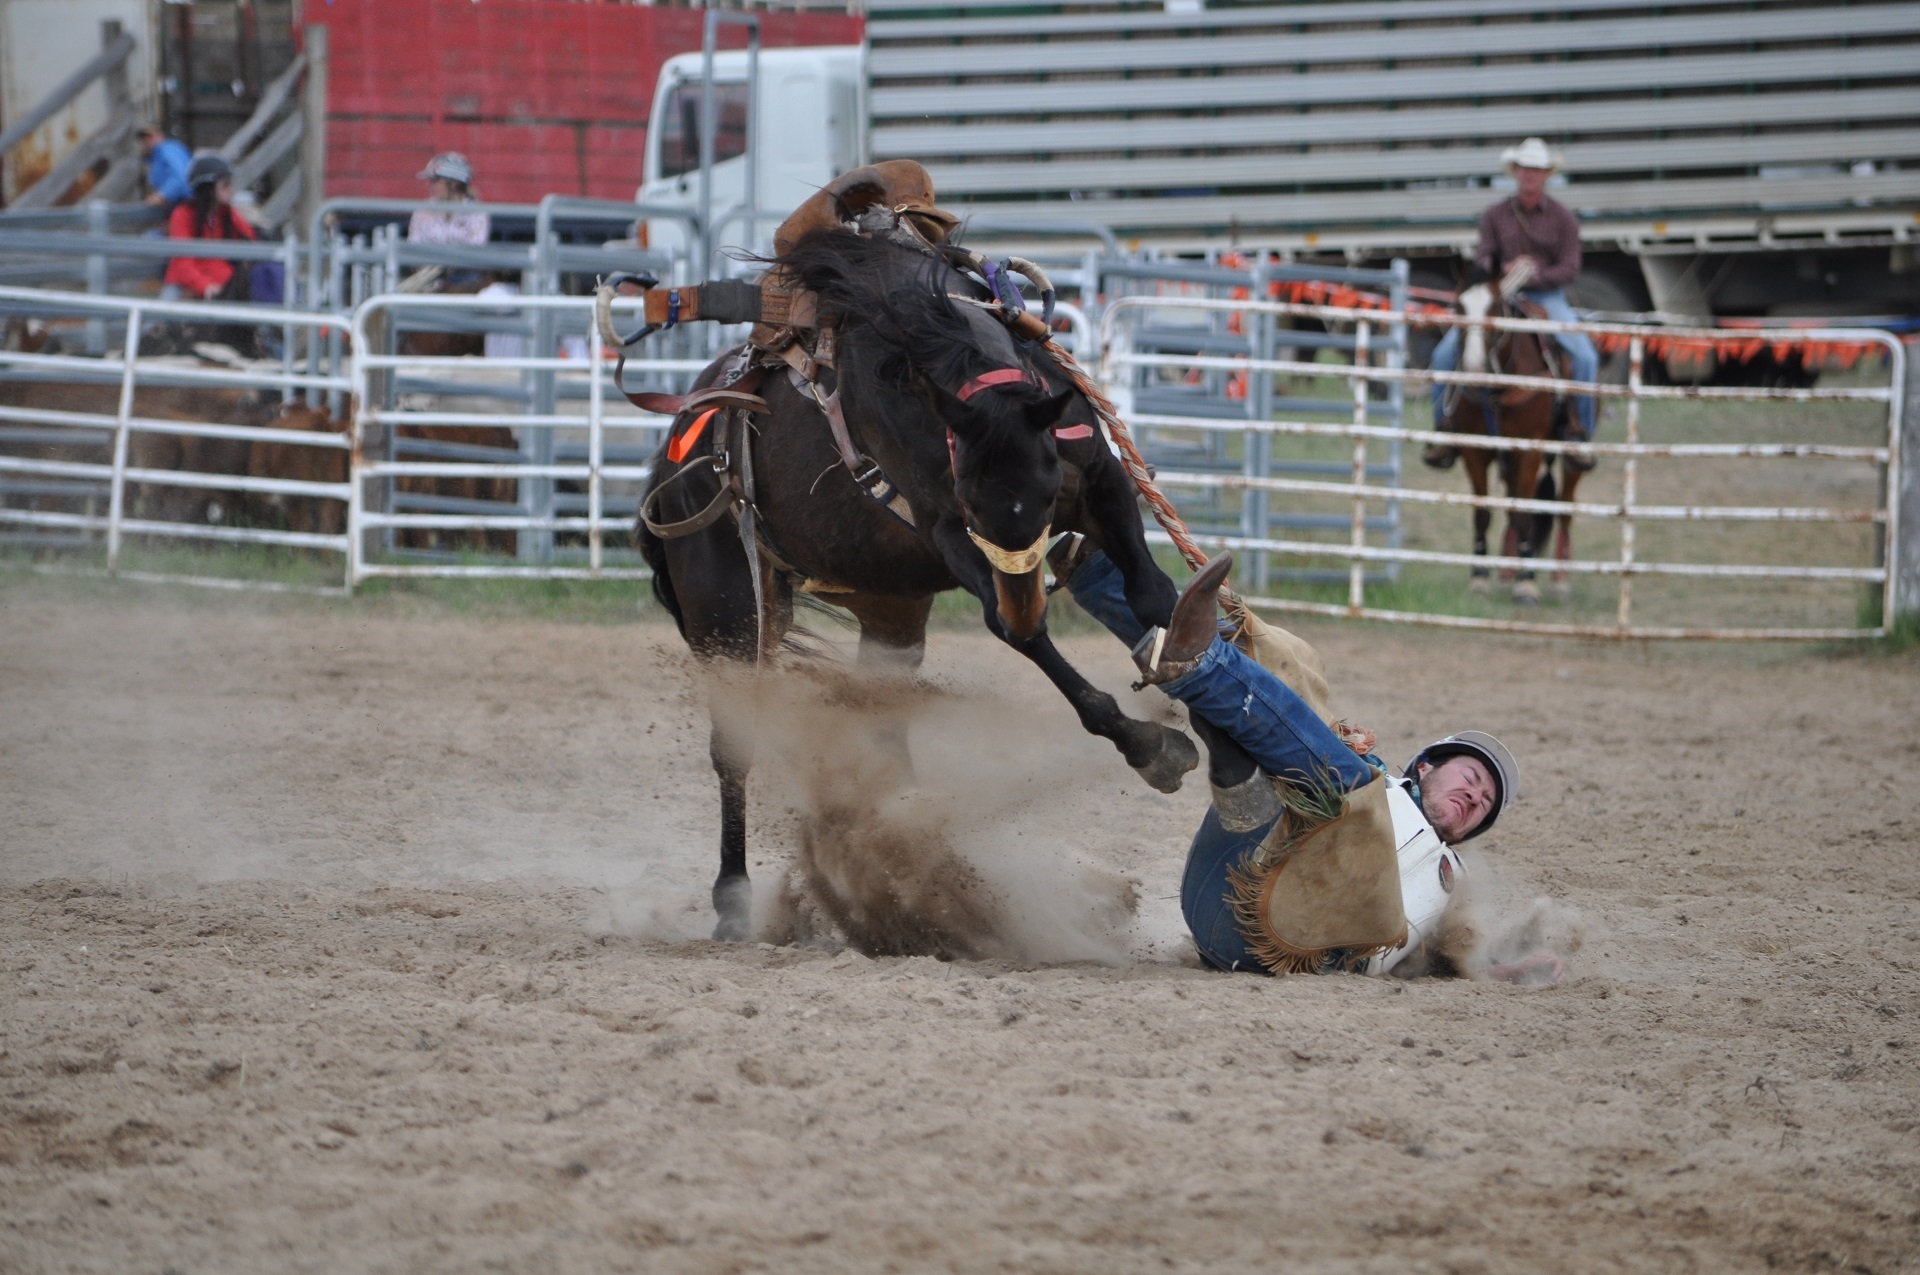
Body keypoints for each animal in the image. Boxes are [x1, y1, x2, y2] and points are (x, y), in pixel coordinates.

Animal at [637, 229, 1198, 940]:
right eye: (971, 501)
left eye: (1047, 491)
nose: (1028, 599)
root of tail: (671, 461)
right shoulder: (947, 532)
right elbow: (1018, 634)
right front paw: (1150, 746)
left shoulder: (1104, 484)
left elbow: (1155, 595)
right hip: (727, 618)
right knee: (733, 747)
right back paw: (736, 902)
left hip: (889, 614)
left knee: (886, 732)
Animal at [1428, 266, 1589, 606]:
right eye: (1459, 307)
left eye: (1495, 309)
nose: (1473, 369)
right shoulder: (1475, 451)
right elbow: (1483, 514)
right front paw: (1480, 578)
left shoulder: (1529, 451)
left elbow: (1526, 514)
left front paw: (1527, 585)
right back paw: (1506, 571)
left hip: (1569, 457)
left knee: (1564, 508)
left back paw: (1559, 580)